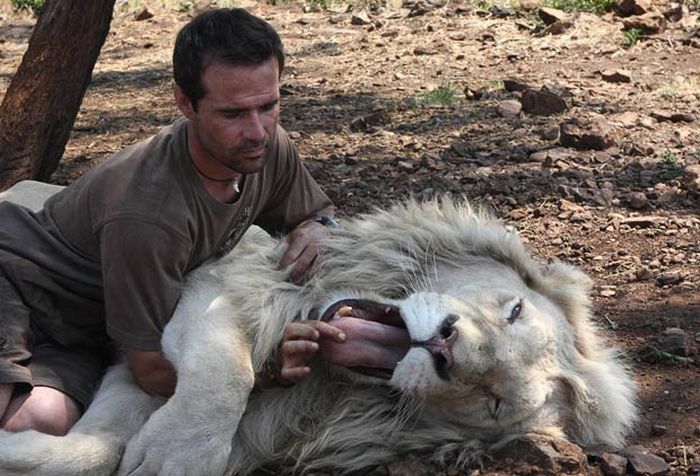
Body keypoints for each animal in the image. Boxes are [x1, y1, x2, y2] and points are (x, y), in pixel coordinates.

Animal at [0, 180, 640, 474]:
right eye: (513, 311)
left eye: (495, 401)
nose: (445, 347)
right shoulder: (212, 282)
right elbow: (221, 380)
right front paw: (174, 456)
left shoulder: (137, 379)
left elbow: (99, 448)